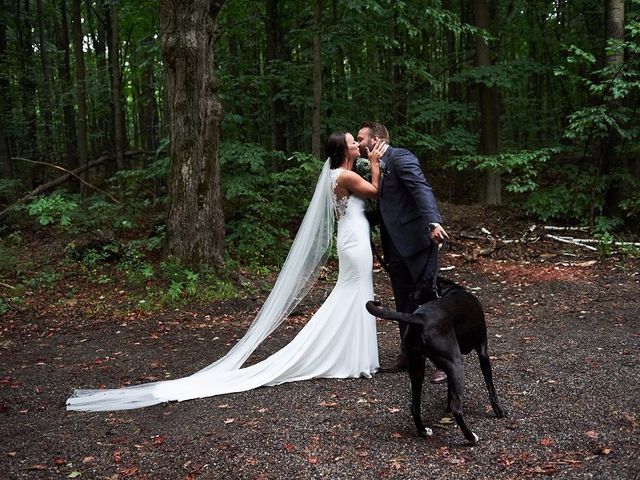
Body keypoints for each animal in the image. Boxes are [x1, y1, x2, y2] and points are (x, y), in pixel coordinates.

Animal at [364, 276, 504, 444]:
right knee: (457, 409)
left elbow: (450, 389)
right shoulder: (483, 353)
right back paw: (471, 437)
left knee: (415, 407)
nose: (409, 295)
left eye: (418, 286)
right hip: (456, 365)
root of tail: (420, 318)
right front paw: (498, 410)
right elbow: (490, 386)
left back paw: (424, 431)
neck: (450, 290)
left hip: (418, 367)